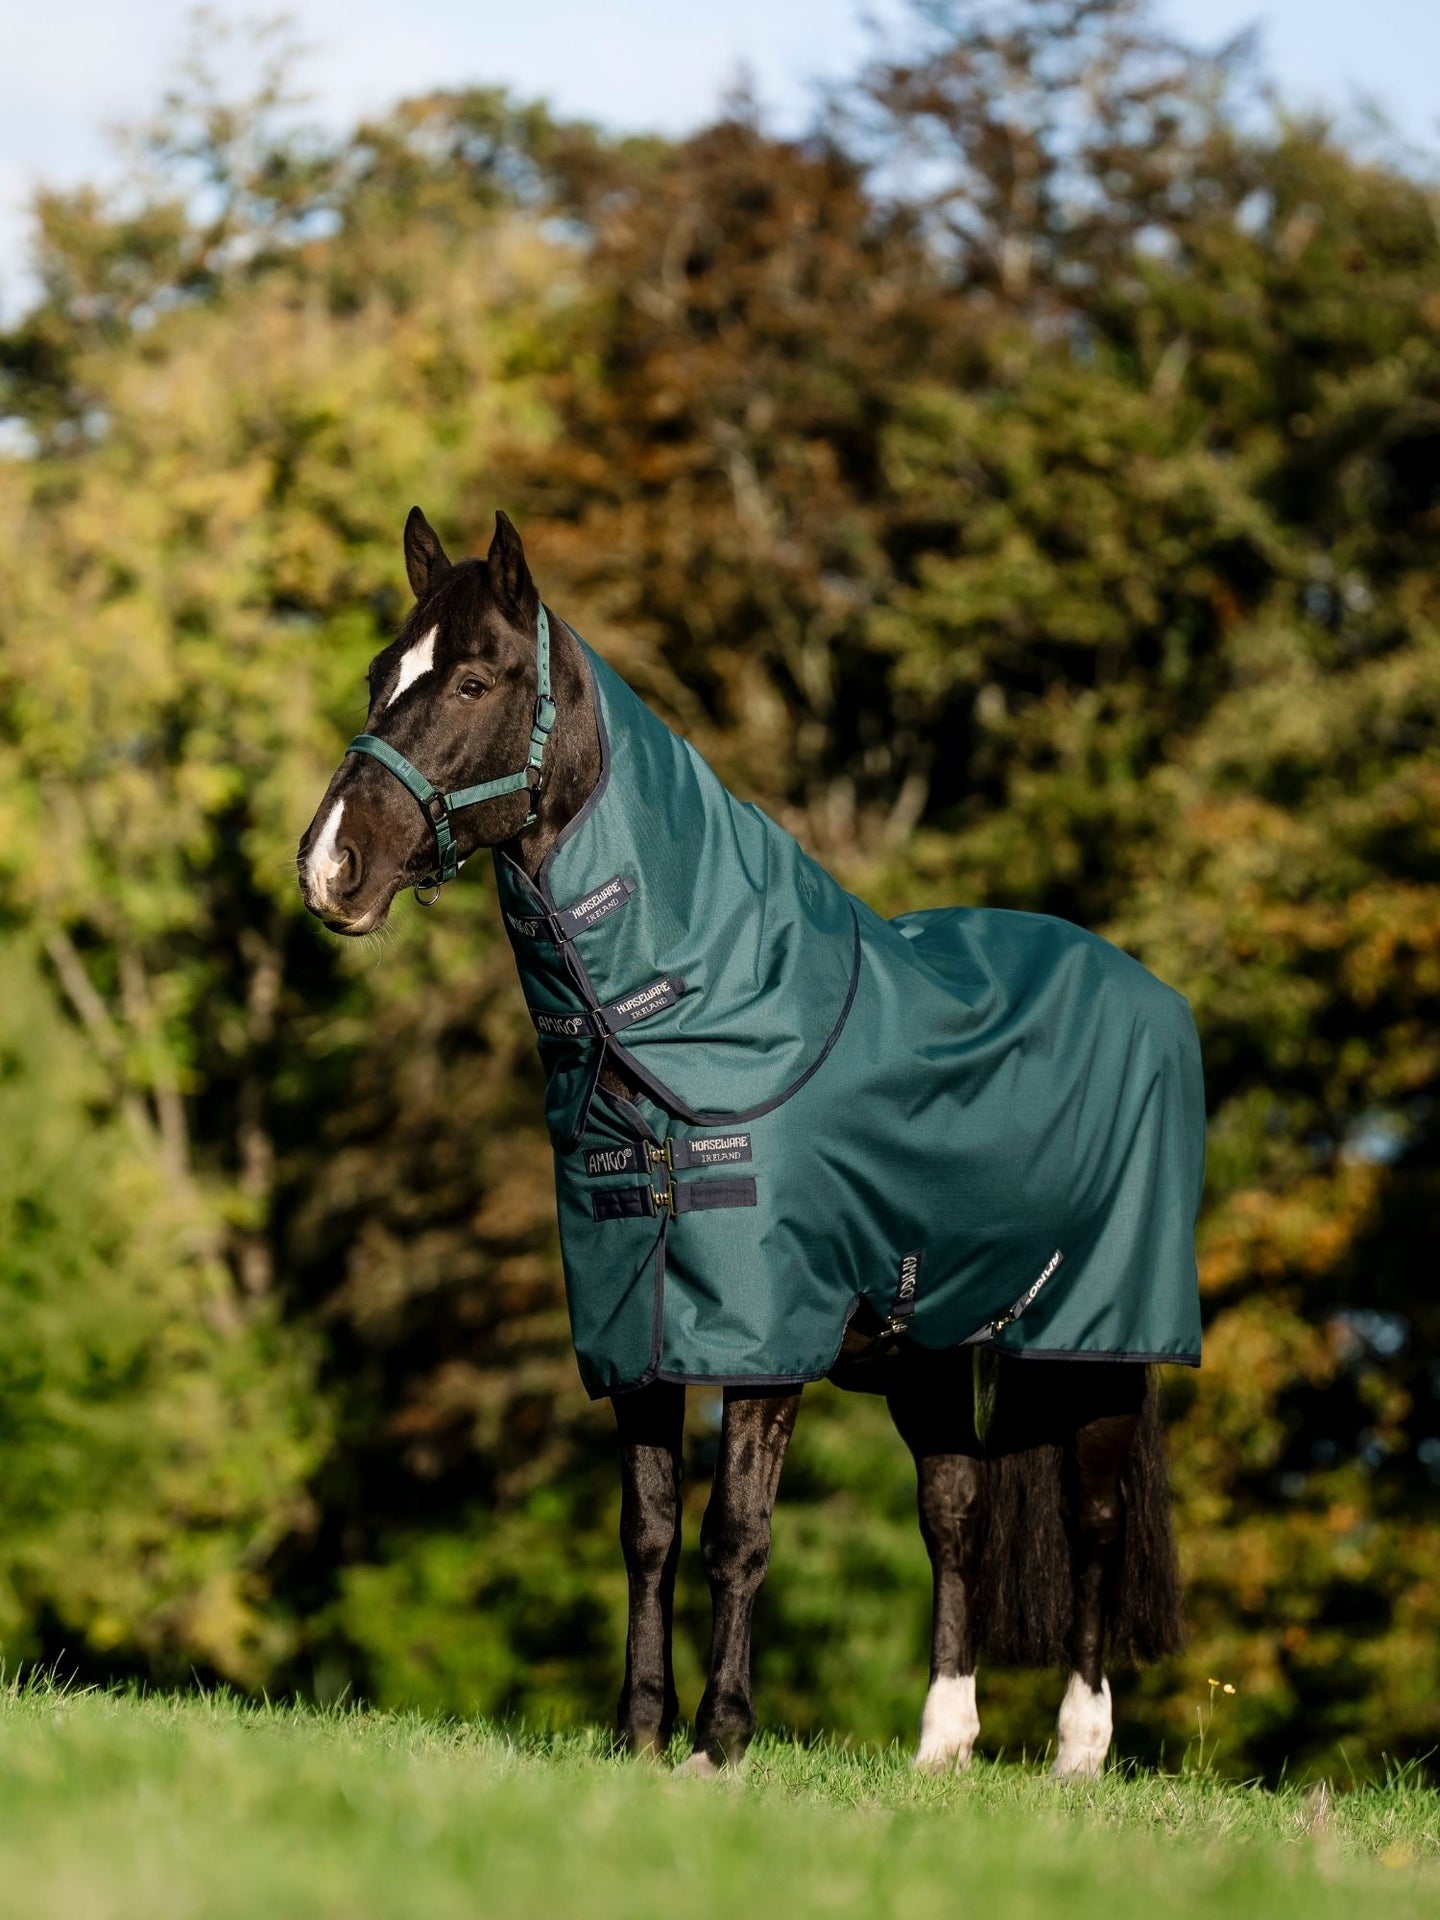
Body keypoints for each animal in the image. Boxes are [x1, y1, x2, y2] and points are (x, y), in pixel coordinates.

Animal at [297, 507, 1194, 1777]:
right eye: (383, 673)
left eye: (471, 679)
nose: (331, 866)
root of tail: (1148, 992)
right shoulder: (635, 1325)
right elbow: (650, 1530)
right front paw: (637, 1733)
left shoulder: (765, 1342)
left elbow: (737, 1531)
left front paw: (720, 1741)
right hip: (932, 1346)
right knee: (957, 1514)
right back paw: (942, 1743)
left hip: (1098, 1344)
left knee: (1095, 1517)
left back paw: (1079, 1747)